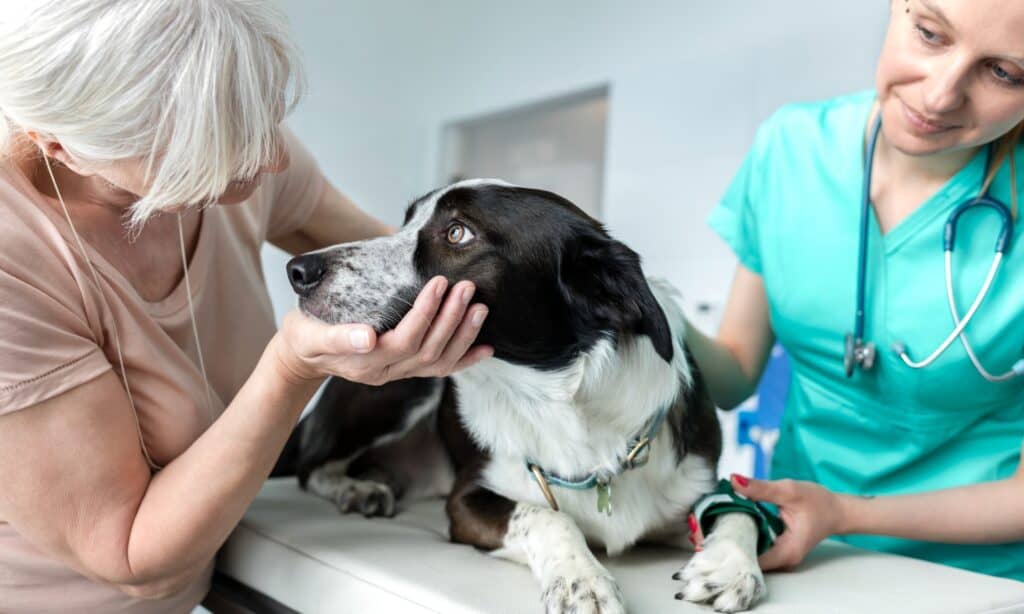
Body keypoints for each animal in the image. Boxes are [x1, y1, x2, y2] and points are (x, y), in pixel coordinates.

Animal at [272, 180, 770, 609]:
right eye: (406, 222)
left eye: (457, 232)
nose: (298, 270)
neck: (562, 407)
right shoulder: (466, 499)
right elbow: (547, 515)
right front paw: (581, 579)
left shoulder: (698, 487)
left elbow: (742, 509)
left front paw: (730, 567)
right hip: (402, 387)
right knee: (310, 468)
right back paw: (357, 489)